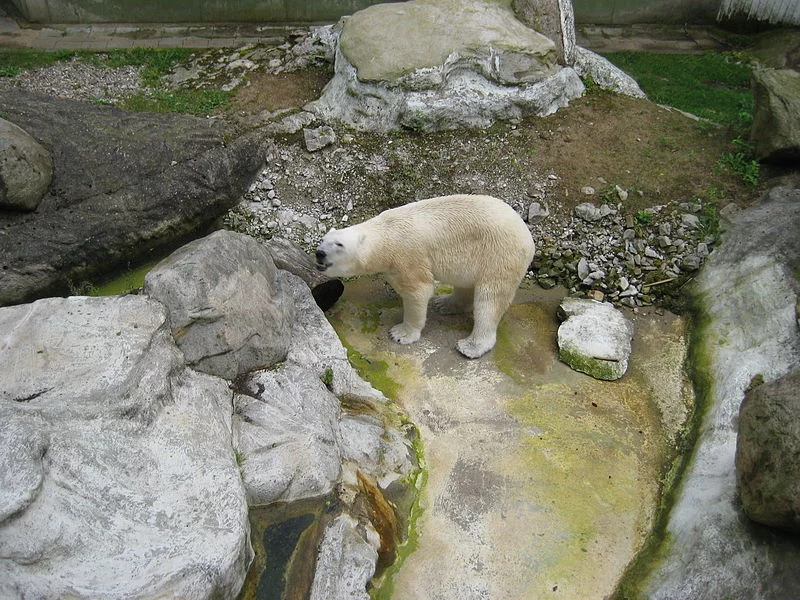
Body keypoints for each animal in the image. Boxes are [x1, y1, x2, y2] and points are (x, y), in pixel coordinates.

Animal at [316, 195, 536, 358]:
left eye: (339, 244)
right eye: (323, 239)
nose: (319, 253)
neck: (386, 233)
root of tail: (528, 236)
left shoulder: (408, 256)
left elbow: (418, 291)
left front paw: (401, 334)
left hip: (499, 255)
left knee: (490, 300)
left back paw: (471, 346)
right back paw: (444, 304)